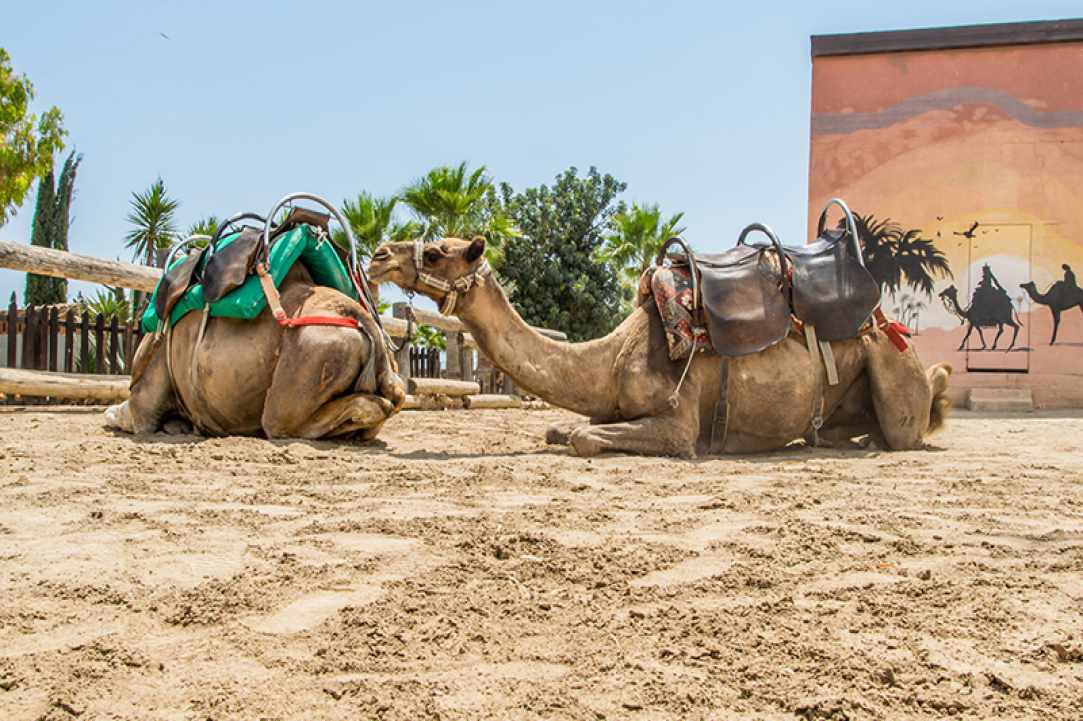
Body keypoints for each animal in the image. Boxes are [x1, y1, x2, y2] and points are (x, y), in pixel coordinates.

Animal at [102, 262, 406, 439]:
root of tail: (365, 321)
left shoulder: (146, 398)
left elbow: (126, 414)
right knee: (388, 401)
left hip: (315, 351)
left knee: (278, 422)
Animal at [368, 237, 952, 458]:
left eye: (438, 252)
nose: (378, 255)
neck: (607, 359)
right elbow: (564, 428)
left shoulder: (678, 424)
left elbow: (583, 438)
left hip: (890, 362)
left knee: (906, 430)